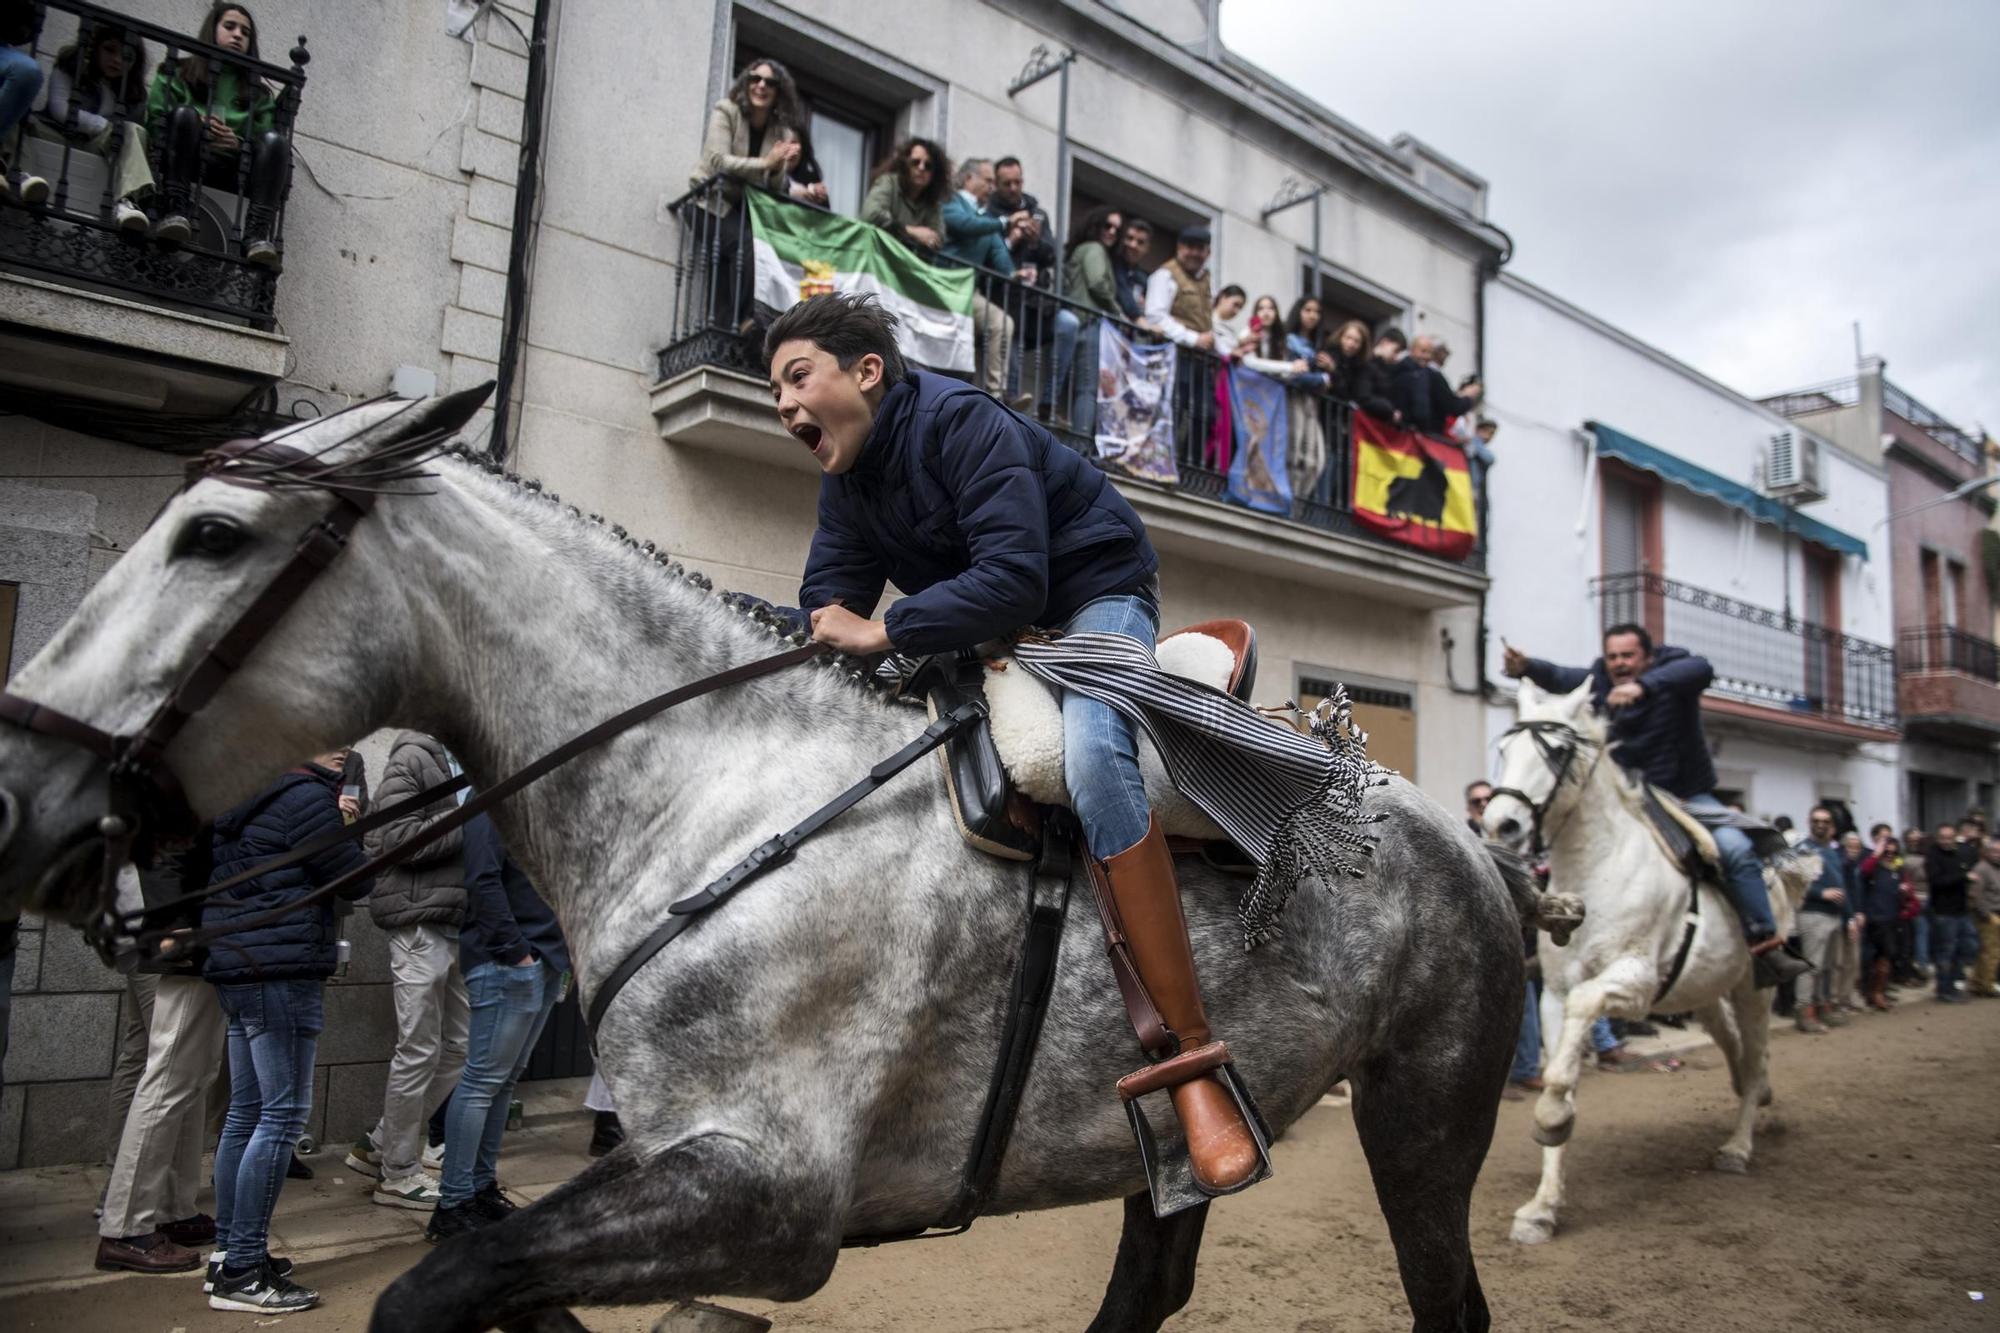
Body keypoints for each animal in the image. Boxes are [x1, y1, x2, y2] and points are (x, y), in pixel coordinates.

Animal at [0, 394, 1528, 1328]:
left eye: (212, 536)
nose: (20, 794)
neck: (712, 781)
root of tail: (1465, 836)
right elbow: (477, 1274)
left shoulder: (767, 1192)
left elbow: (438, 1282)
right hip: (1169, 1145)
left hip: (1422, 1115)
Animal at [1488, 680, 1816, 1240]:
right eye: (1506, 748)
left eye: (1556, 751)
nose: (1501, 825)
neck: (1600, 865)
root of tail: (1776, 869)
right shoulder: (1552, 995)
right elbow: (1561, 1069)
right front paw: (1542, 1208)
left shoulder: (1633, 982)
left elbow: (1569, 1051)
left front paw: (1551, 1118)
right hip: (1703, 990)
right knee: (1733, 1047)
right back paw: (1756, 1096)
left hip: (1754, 987)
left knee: (1754, 1056)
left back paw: (1738, 1146)